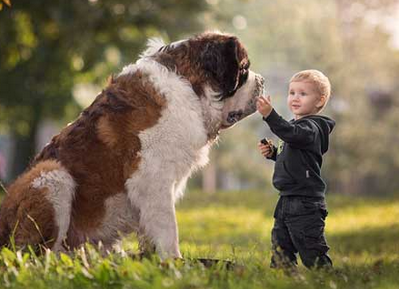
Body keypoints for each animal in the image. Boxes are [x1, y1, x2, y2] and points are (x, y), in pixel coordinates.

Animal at [0, 31, 266, 258]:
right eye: (244, 69)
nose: (262, 80)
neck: (190, 86)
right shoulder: (152, 178)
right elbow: (168, 227)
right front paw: (174, 263)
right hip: (52, 175)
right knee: (39, 254)